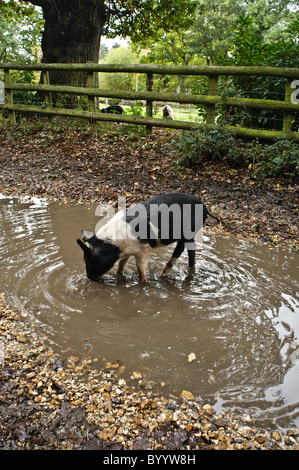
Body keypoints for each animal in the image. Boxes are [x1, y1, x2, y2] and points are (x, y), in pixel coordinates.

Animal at [76, 192, 219, 282]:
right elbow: (122, 263)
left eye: (88, 260)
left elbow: (141, 269)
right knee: (191, 249)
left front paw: (143, 282)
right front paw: (118, 273)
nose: (88, 277)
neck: (116, 246)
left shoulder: (144, 249)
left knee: (182, 248)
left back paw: (162, 274)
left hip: (188, 232)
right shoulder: (128, 250)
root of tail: (204, 207)